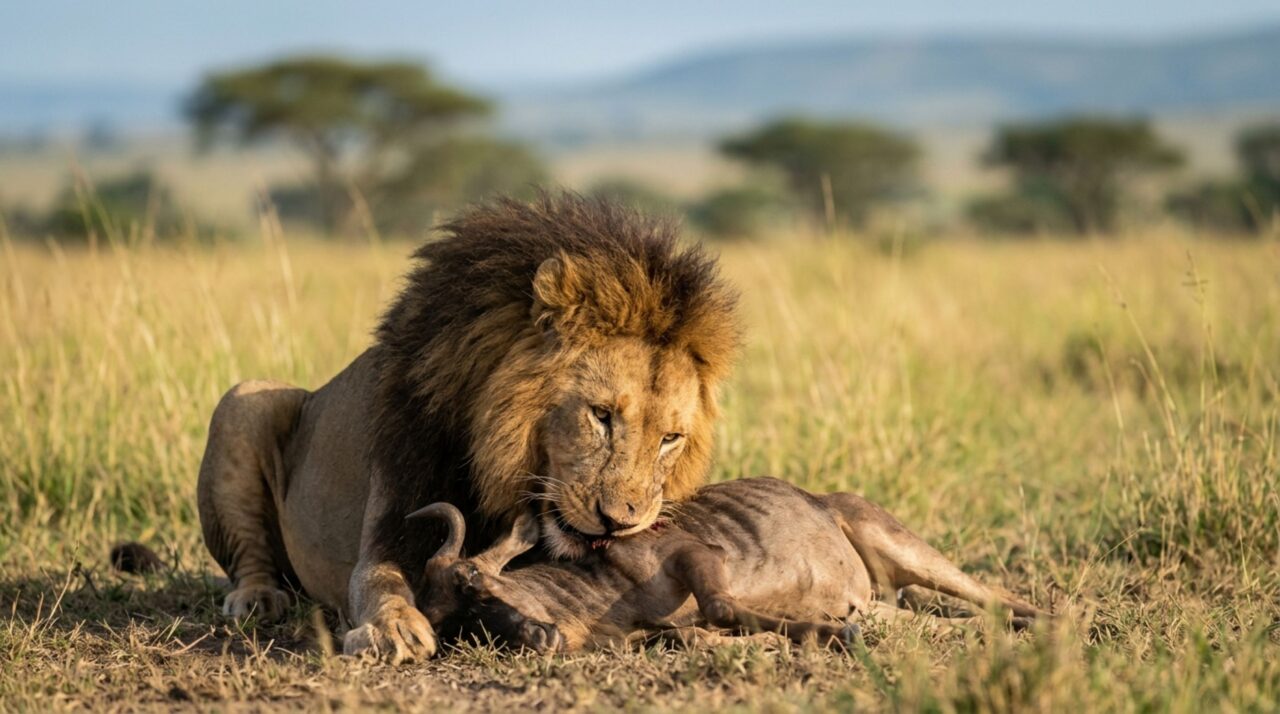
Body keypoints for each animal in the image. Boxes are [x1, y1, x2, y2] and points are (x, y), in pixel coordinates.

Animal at [195, 193, 739, 663]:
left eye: (670, 439)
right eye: (601, 415)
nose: (621, 522)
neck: (498, 463)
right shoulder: (393, 514)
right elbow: (377, 580)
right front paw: (394, 627)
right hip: (245, 399)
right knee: (250, 558)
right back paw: (258, 597)